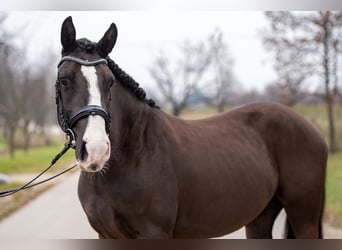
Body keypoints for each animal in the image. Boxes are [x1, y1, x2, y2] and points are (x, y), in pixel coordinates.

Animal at [55, 16, 326, 239]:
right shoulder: (106, 235)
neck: (134, 153)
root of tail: (311, 128)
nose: (96, 150)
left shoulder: (154, 233)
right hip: (260, 217)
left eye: (110, 82)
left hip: (304, 217)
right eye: (64, 80)